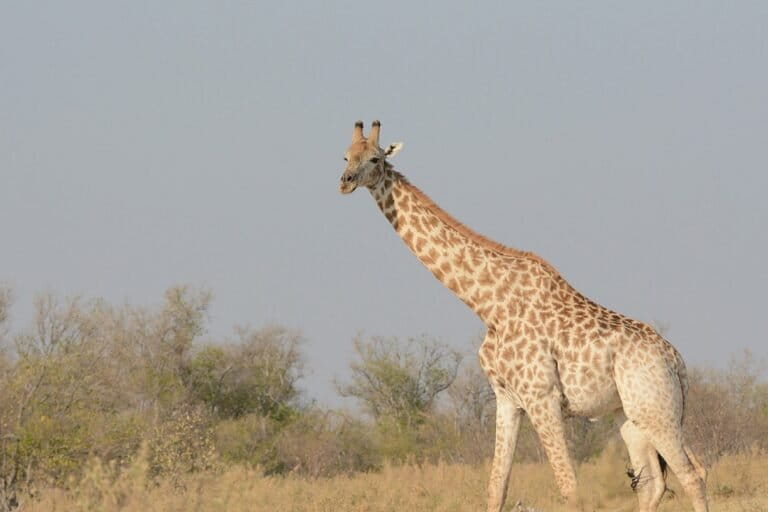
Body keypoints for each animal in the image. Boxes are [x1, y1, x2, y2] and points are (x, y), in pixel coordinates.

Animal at [338, 120, 709, 512]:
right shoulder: (507, 398)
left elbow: (569, 487)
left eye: (375, 158)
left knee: (692, 475)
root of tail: (677, 362)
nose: (345, 181)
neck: (487, 304)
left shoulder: (542, 397)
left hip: (657, 409)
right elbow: (496, 485)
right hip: (632, 415)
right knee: (653, 483)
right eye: (346, 156)